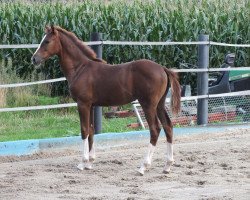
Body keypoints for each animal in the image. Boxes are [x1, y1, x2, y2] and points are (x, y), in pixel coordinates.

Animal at [32, 25, 181, 175]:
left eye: (47, 41)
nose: (34, 59)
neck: (80, 68)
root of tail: (163, 68)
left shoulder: (82, 104)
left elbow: (84, 130)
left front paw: (82, 163)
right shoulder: (91, 105)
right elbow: (91, 130)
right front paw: (90, 162)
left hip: (148, 105)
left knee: (155, 129)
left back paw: (144, 166)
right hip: (159, 104)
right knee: (168, 126)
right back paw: (167, 166)